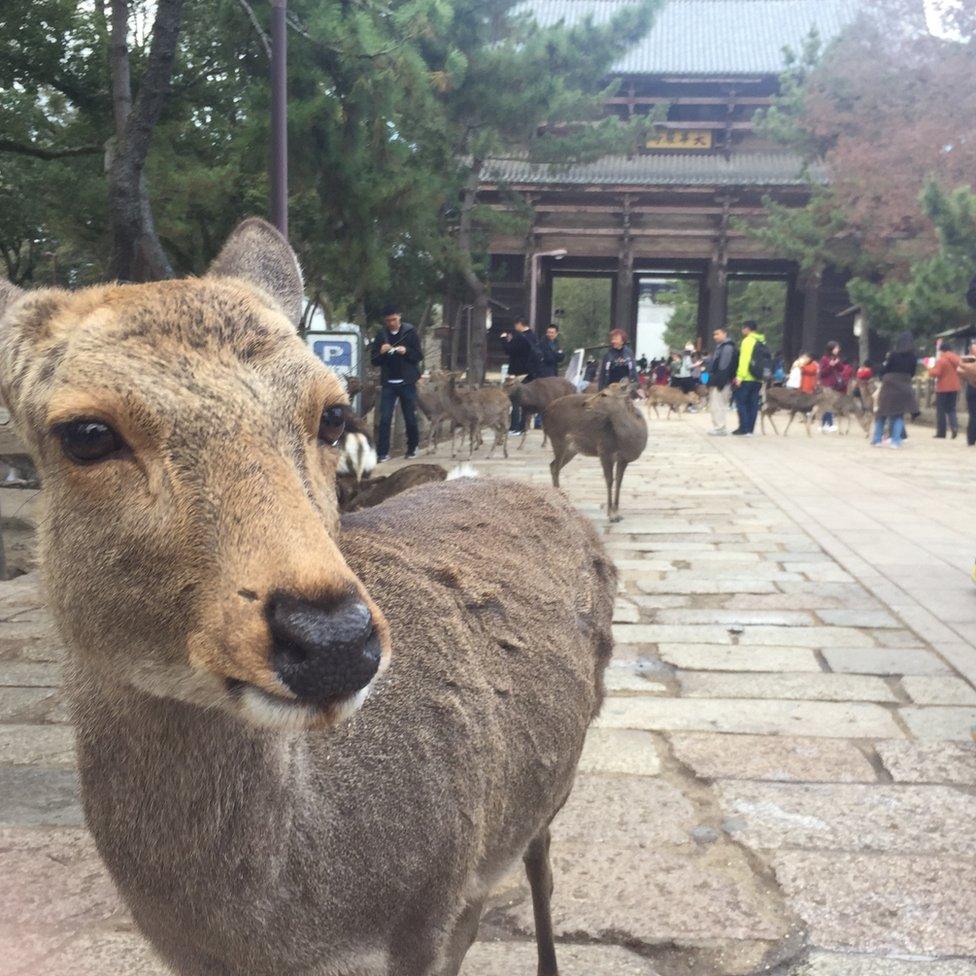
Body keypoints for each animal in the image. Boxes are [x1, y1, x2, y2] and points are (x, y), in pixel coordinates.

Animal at [0, 219, 616, 976]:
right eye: (86, 433)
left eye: (333, 413)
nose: (333, 641)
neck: (287, 938)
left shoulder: (427, 907)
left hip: (565, 767)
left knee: (539, 859)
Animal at [540, 378, 648, 524]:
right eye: (601, 390)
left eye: (604, 394)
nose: (585, 403)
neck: (626, 441)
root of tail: (545, 412)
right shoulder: (604, 451)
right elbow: (609, 480)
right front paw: (611, 515)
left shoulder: (623, 459)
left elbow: (619, 482)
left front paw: (617, 513)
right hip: (558, 438)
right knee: (556, 468)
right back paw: (561, 502)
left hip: (572, 449)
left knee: (552, 465)